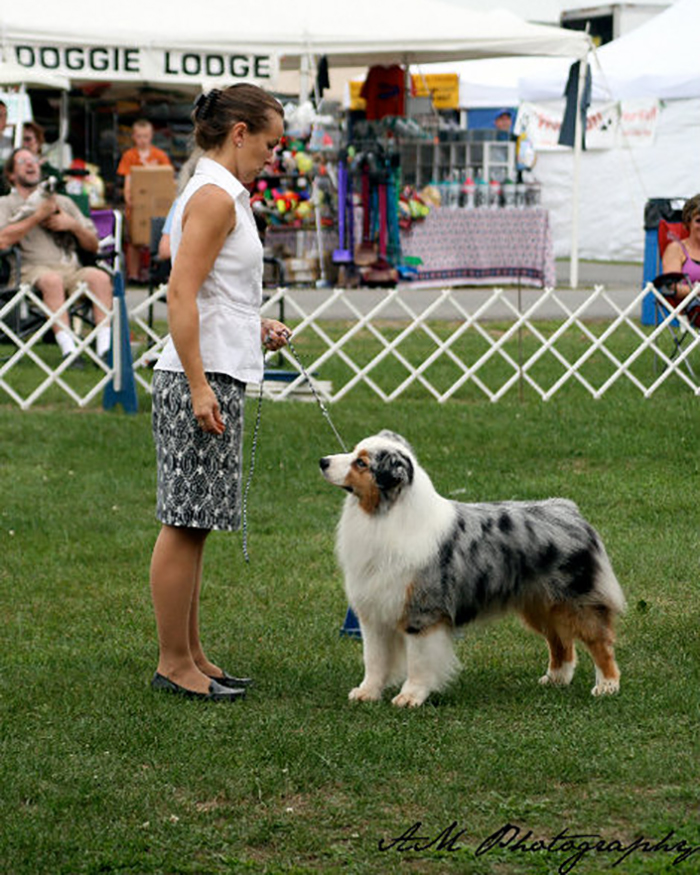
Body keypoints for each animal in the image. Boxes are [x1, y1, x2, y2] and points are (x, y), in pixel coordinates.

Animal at [320, 430, 625, 708]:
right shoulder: (374, 612)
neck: (383, 516)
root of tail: (569, 510)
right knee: (561, 642)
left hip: (576, 601)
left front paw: (410, 697)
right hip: (540, 605)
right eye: (353, 451)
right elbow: (374, 659)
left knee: (600, 642)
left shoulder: (422, 613)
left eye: (361, 463)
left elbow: (418, 662)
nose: (323, 461)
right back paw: (555, 679)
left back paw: (607, 686)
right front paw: (367, 693)